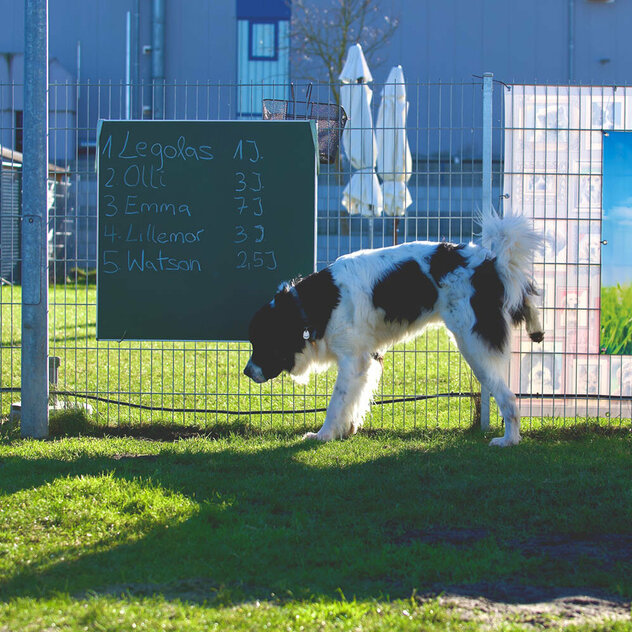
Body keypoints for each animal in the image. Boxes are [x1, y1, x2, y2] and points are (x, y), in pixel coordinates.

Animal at [243, 211, 544, 444]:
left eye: (262, 343)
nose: (247, 372)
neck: (310, 305)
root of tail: (490, 262)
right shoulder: (368, 358)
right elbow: (355, 399)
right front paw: (347, 429)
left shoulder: (352, 359)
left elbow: (336, 402)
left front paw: (323, 435)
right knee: (527, 295)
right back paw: (536, 328)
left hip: (473, 346)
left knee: (509, 398)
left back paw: (509, 440)